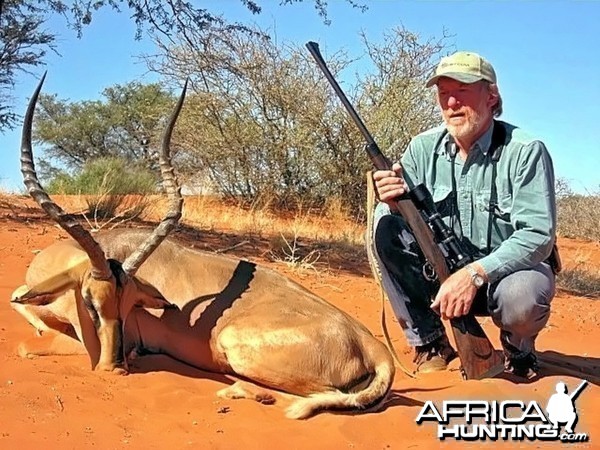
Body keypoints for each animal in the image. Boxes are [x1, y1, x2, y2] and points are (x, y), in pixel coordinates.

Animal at [11, 76, 396, 418]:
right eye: (91, 303)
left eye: (129, 305)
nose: (113, 368)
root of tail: (375, 347)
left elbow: (28, 346)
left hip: (235, 344)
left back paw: (237, 391)